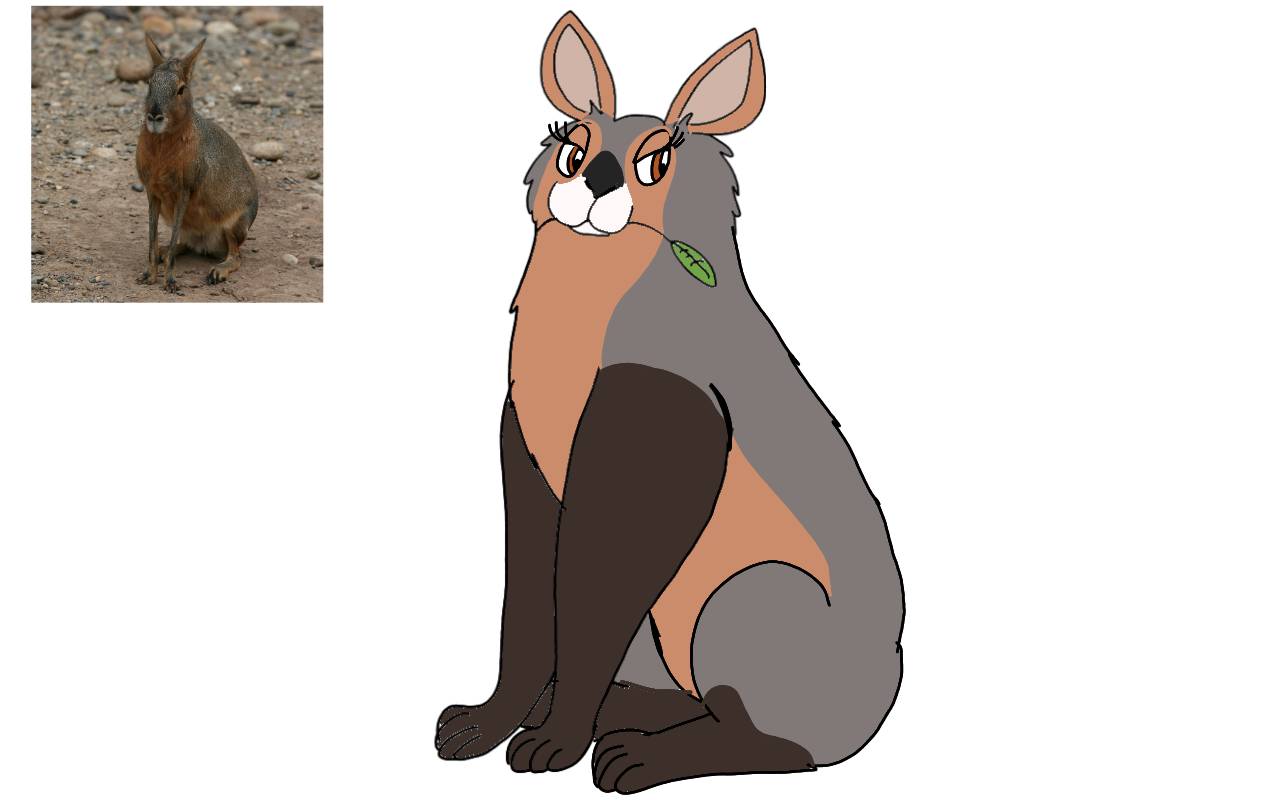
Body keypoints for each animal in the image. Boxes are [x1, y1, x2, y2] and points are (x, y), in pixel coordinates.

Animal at [135, 33, 258, 292]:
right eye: (149, 84)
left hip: (234, 226)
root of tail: (206, 245)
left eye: (181, 89)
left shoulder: (184, 190)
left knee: (236, 256)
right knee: (182, 243)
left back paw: (217, 272)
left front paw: (170, 281)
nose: (154, 116)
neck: (163, 144)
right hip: (184, 225)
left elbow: (169, 239)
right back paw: (163, 254)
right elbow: (152, 236)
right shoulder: (152, 192)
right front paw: (148, 274)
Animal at [436, 12, 904, 793]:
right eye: (571, 144)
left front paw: (550, 748)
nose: (594, 181)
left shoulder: (654, 436)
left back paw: (634, 756)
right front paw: (478, 726)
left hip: (746, 599)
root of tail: (869, 714)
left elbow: (591, 607)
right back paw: (622, 715)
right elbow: (525, 610)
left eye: (658, 160)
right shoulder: (530, 466)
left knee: (769, 740)